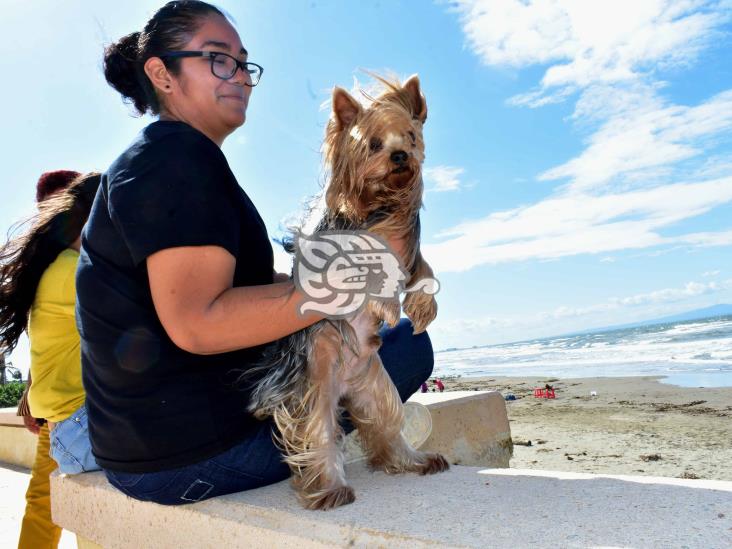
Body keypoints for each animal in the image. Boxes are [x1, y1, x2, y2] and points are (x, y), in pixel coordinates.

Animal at [244, 75, 446, 508]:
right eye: (373, 144)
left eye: (410, 137)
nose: (401, 156)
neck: (381, 205)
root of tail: (344, 384)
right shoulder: (344, 254)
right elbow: (371, 271)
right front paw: (387, 304)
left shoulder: (410, 247)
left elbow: (423, 270)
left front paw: (422, 306)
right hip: (313, 388)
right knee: (316, 433)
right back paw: (329, 488)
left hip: (375, 386)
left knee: (385, 425)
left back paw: (413, 461)